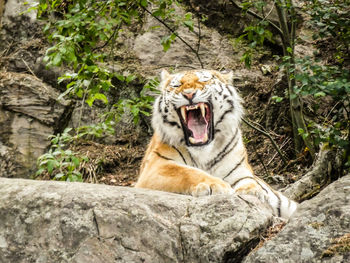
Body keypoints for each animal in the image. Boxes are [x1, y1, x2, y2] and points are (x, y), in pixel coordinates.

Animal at [135, 69, 296, 220]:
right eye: (177, 85)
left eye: (203, 81)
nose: (189, 94)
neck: (203, 152)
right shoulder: (156, 166)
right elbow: (187, 172)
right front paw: (214, 185)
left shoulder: (240, 169)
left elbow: (249, 180)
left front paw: (254, 190)